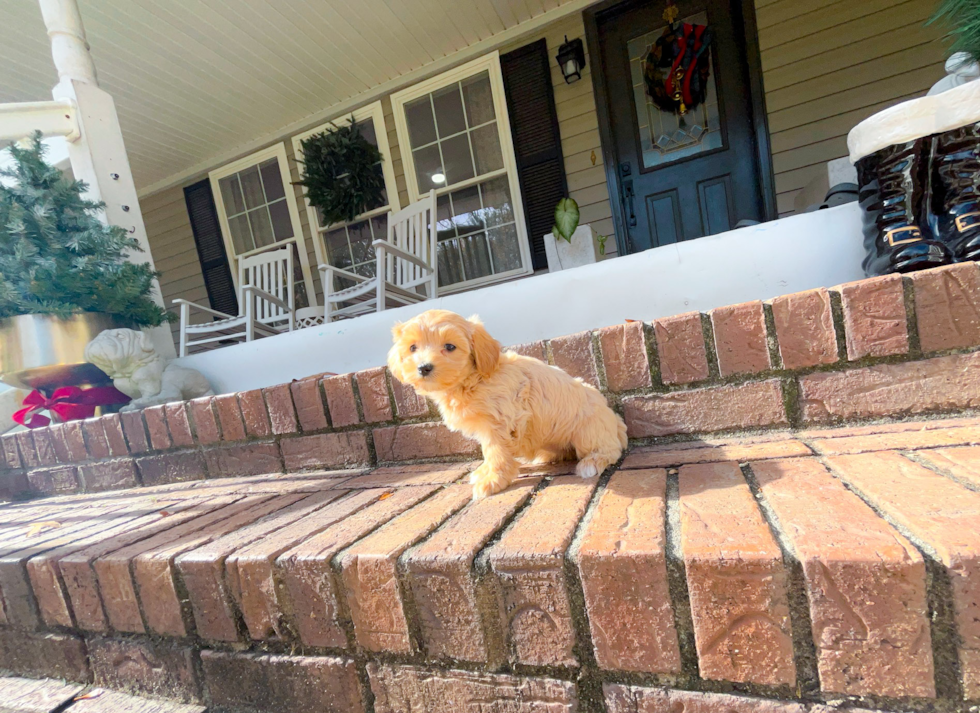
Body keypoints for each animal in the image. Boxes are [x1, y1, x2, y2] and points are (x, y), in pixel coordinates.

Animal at [386, 308, 624, 498]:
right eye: (412, 348)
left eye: (450, 346)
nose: (424, 367)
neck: (475, 379)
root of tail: (615, 420)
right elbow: (488, 452)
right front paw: (485, 472)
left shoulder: (499, 423)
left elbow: (496, 452)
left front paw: (492, 481)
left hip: (588, 432)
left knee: (611, 450)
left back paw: (591, 463)